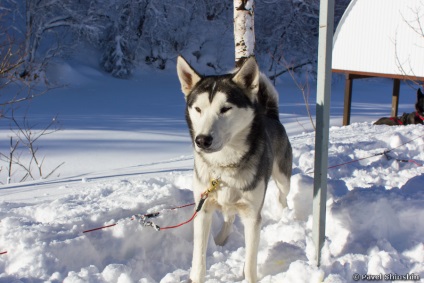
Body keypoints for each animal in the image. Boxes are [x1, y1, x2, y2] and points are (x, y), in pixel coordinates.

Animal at [176, 56, 292, 283]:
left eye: (225, 108)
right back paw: (221, 238)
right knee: (228, 217)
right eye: (198, 109)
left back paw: (284, 215)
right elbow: (199, 260)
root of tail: (271, 116)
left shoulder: (252, 216)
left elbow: (250, 263)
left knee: (282, 196)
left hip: (283, 178)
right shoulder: (203, 209)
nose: (202, 140)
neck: (224, 166)